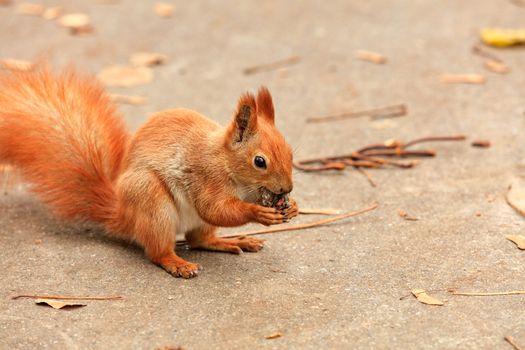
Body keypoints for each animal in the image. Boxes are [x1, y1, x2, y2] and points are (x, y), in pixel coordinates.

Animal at [0, 67, 294, 278]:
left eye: (291, 151)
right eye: (259, 161)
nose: (287, 189)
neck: (226, 162)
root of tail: (122, 215)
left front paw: (291, 207)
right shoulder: (205, 176)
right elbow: (215, 209)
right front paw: (258, 213)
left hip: (187, 221)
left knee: (199, 239)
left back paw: (232, 242)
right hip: (151, 200)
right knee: (157, 252)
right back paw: (177, 263)